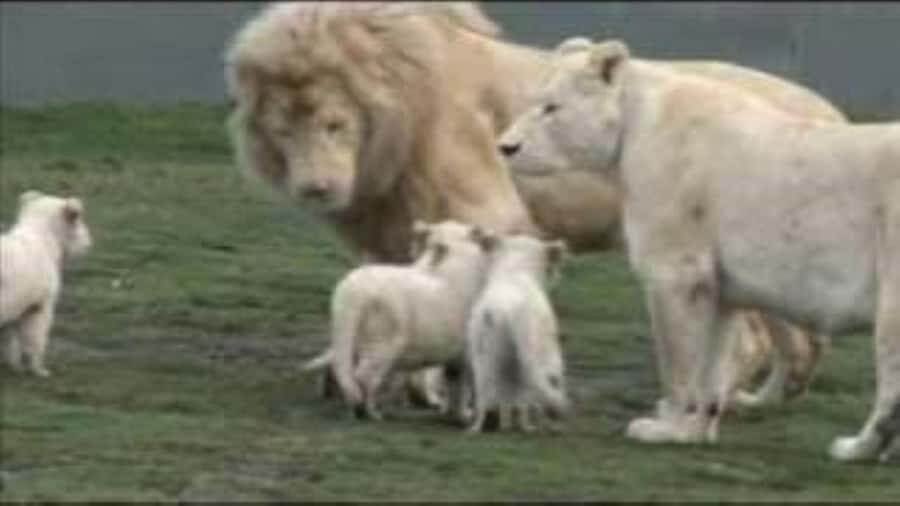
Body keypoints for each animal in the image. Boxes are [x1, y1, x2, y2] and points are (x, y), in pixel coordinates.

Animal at [224, 3, 840, 411]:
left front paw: (432, 384)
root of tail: (828, 110)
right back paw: (763, 396)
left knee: (758, 338)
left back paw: (719, 399)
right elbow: (398, 290)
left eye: (334, 124)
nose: (316, 188)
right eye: (282, 130)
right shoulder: (389, 226)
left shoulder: (485, 207)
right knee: (795, 341)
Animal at [497, 37, 900, 462]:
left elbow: (677, 357)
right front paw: (695, 429)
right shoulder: (718, 284)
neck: (636, 123)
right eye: (532, 100)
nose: (505, 147)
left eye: (551, 107)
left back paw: (855, 448)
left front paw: (663, 427)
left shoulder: (677, 269)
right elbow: (711, 360)